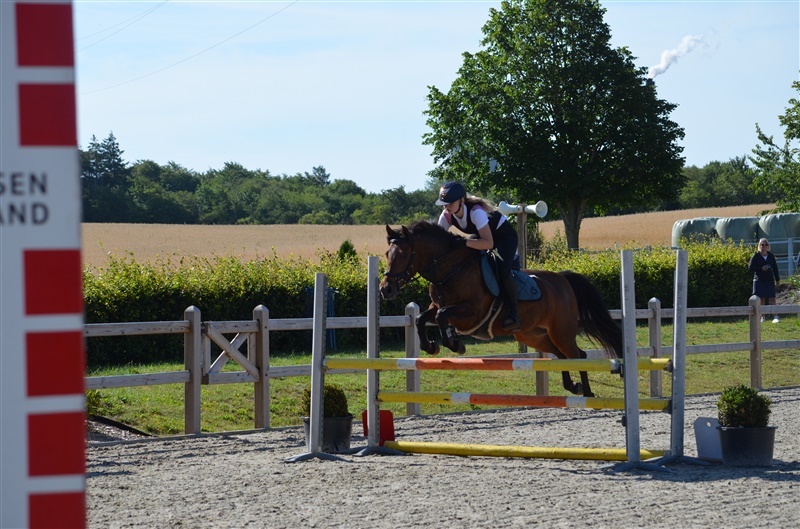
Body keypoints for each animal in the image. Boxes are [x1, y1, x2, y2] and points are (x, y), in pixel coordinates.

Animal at [379, 221, 623, 398]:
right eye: (387, 254)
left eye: (403, 254)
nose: (385, 289)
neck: (451, 269)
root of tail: (562, 279)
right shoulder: (436, 305)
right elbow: (422, 318)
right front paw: (432, 347)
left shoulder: (471, 312)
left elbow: (442, 316)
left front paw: (455, 344)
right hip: (533, 335)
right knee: (563, 355)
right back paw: (573, 386)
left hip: (561, 331)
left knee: (578, 355)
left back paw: (588, 393)